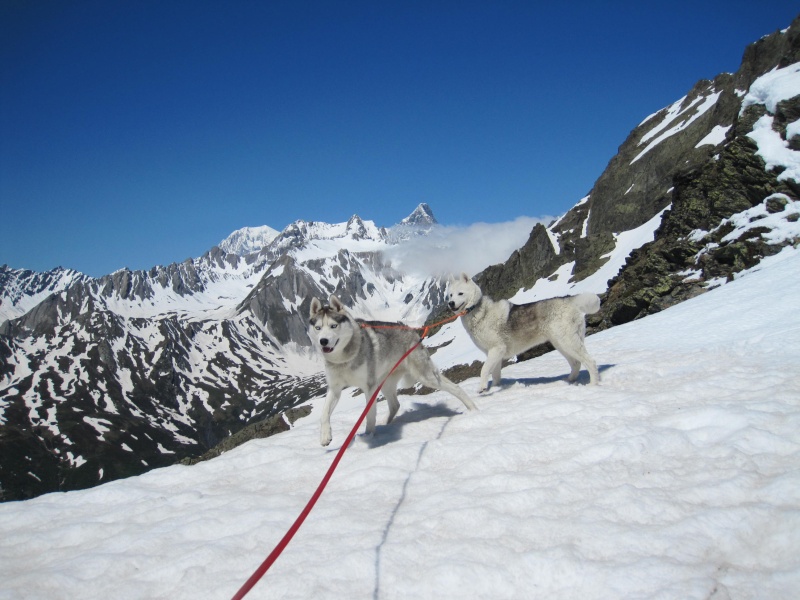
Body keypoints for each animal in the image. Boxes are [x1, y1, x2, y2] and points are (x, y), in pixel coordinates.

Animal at [308, 296, 476, 446]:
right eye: (318, 328)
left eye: (333, 326)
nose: (323, 341)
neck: (343, 359)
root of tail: (411, 330)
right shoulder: (335, 388)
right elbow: (324, 414)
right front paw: (325, 436)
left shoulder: (369, 388)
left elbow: (369, 416)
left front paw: (368, 436)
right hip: (386, 383)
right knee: (395, 405)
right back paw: (386, 423)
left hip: (424, 375)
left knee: (455, 387)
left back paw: (473, 408)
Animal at [446, 274, 596, 392]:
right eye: (450, 295)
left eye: (460, 293)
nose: (450, 303)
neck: (477, 311)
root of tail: (570, 300)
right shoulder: (495, 354)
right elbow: (495, 374)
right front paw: (495, 388)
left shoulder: (496, 349)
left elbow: (484, 369)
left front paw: (482, 388)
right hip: (561, 345)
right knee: (576, 363)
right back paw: (569, 381)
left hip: (568, 343)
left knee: (590, 361)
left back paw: (593, 384)